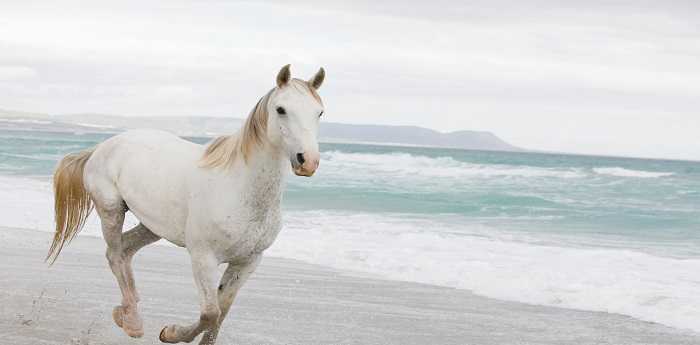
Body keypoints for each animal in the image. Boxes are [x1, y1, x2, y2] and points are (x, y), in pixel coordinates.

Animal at [46, 65, 326, 344]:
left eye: (319, 112)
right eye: (281, 109)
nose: (307, 161)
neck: (238, 187)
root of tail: (102, 147)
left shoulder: (247, 262)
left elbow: (222, 312)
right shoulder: (203, 258)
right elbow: (210, 313)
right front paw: (170, 333)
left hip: (153, 226)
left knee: (125, 250)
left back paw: (126, 312)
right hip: (111, 210)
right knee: (114, 254)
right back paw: (133, 323)